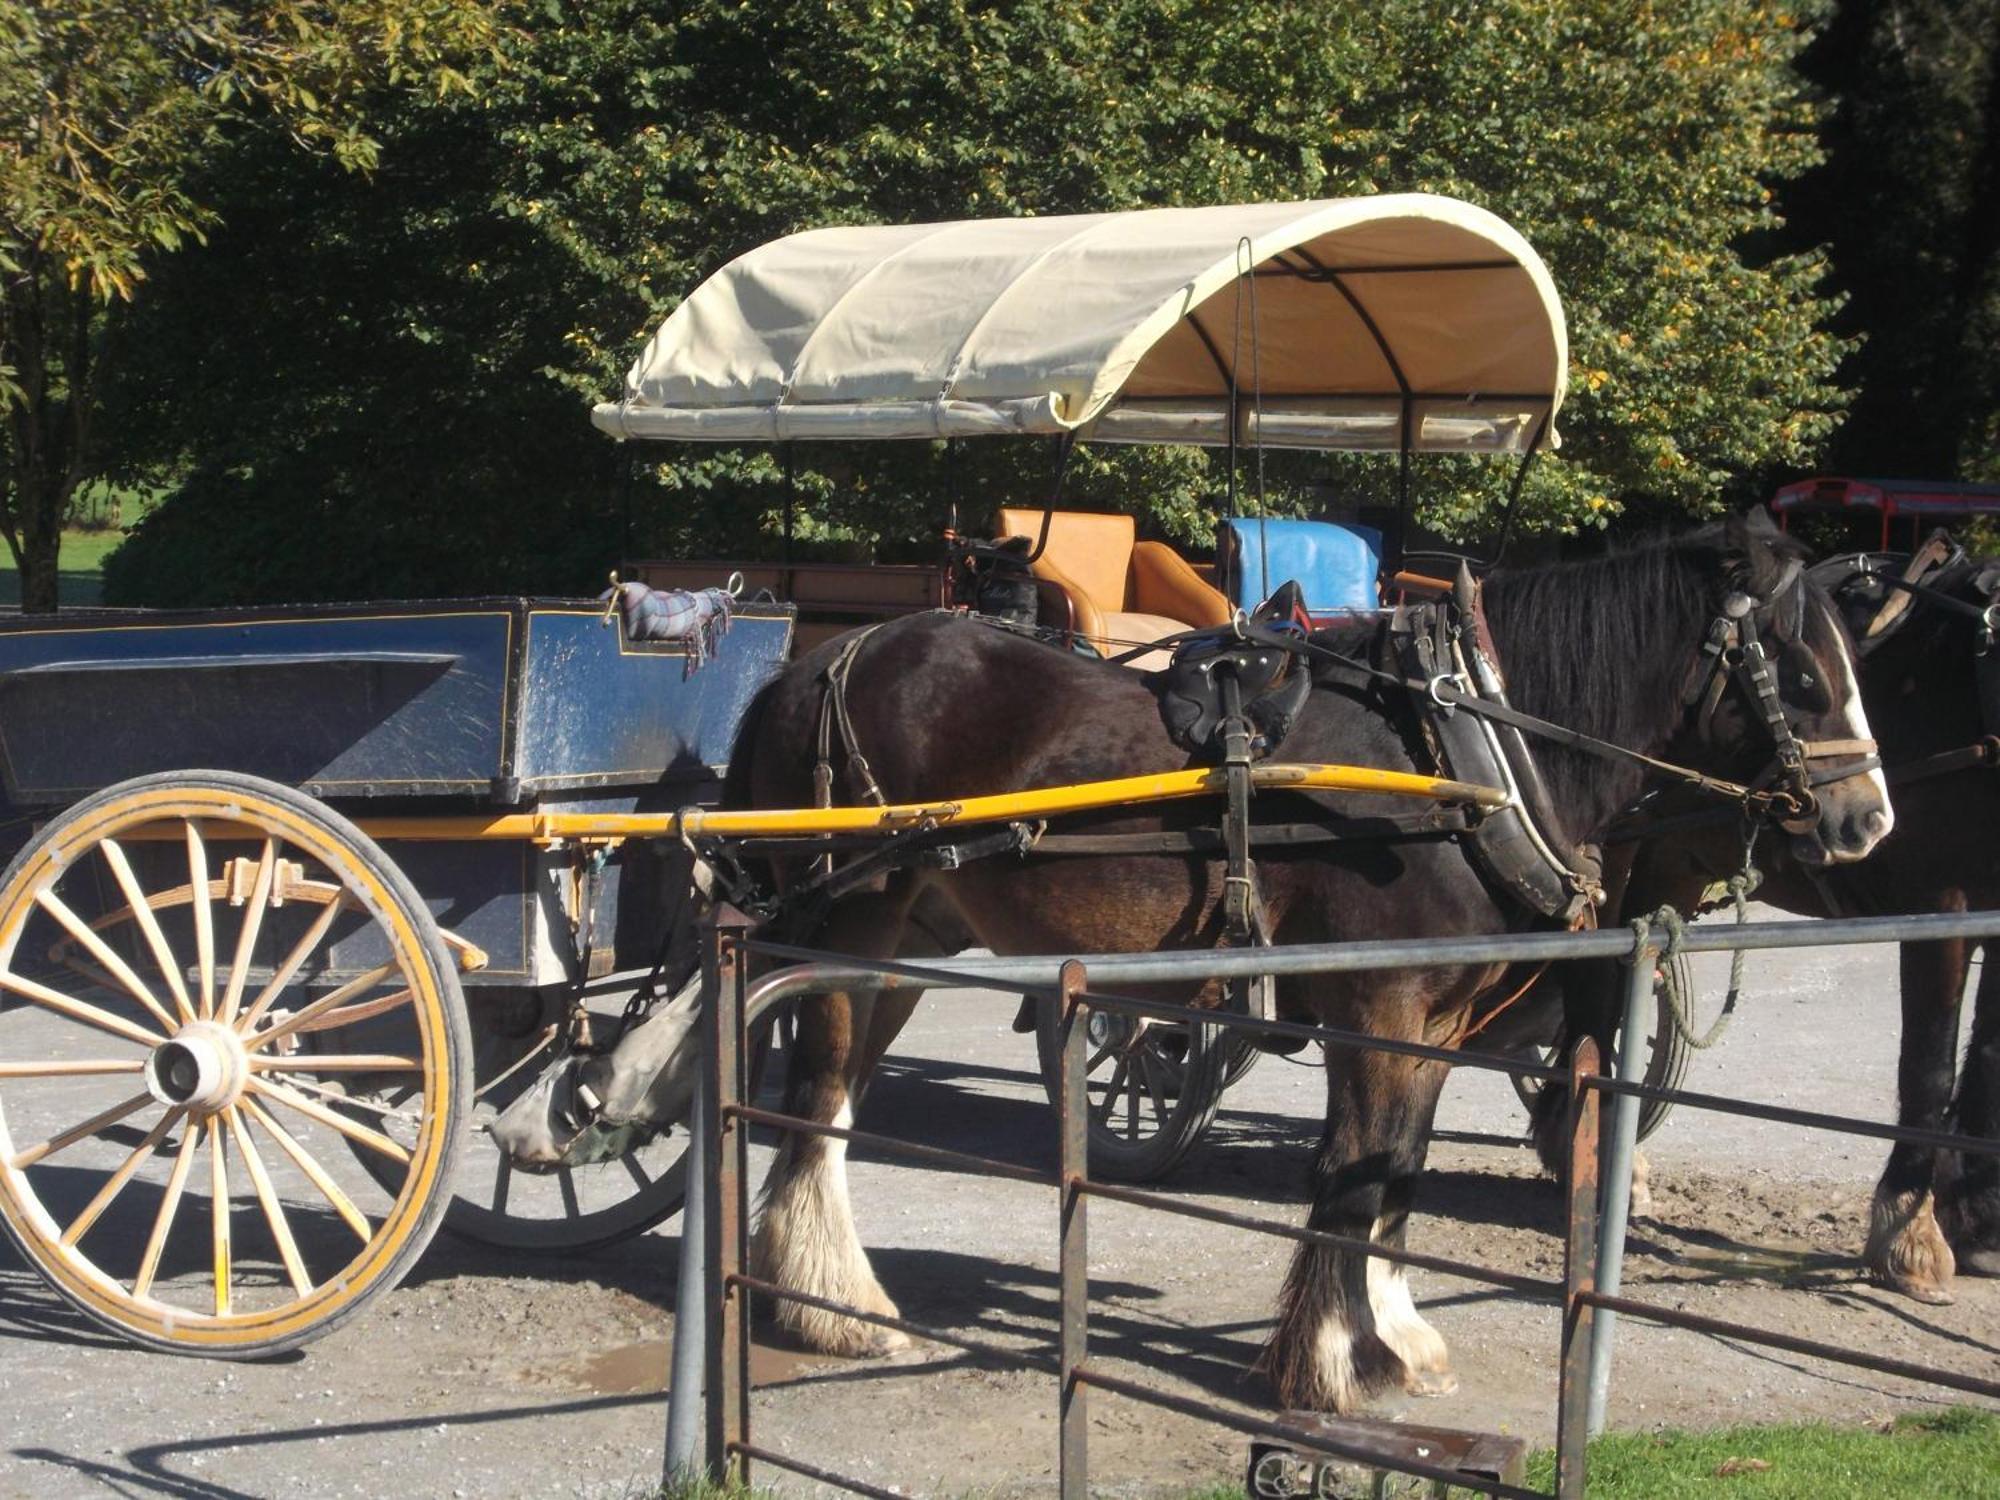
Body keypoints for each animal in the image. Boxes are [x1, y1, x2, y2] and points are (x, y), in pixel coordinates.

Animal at [736, 516, 1888, 1408]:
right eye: (1797, 675)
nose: (1865, 821)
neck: (1461, 751)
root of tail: (814, 665)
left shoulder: (1435, 1019)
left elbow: (1396, 1171)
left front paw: (1396, 1337)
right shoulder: (1378, 1003)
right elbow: (1349, 1170)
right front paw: (1327, 1362)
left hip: (905, 945)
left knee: (831, 1104)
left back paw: (822, 1295)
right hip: (847, 930)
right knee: (816, 1099)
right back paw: (842, 1310)